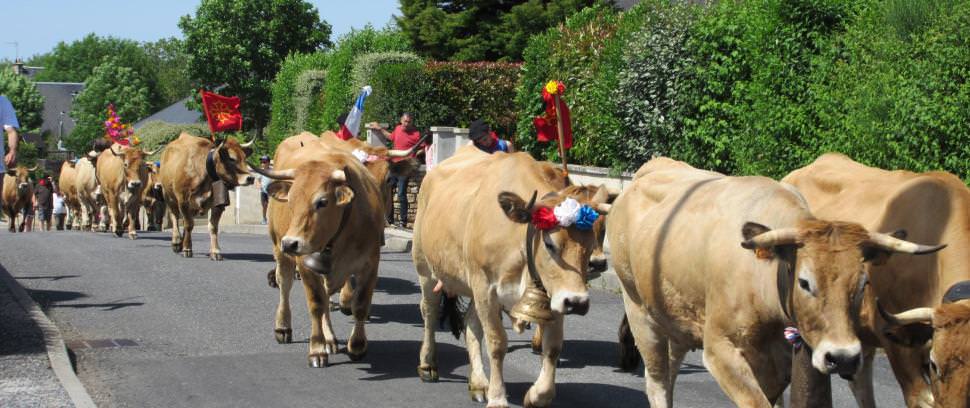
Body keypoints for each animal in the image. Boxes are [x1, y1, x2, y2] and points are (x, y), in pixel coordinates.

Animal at [158, 134, 253, 262]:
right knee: (175, 217)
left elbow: (213, 227)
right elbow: (188, 224)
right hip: (169, 196)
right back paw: (177, 242)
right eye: (232, 158)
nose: (250, 178)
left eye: (244, 157)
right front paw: (187, 249)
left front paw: (215, 251)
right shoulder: (183, 201)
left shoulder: (218, 205)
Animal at [251, 133, 384, 366]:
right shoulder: (305, 265)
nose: (290, 243)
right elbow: (316, 303)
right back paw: (284, 327)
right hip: (280, 251)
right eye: (291, 200)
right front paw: (317, 348)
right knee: (285, 285)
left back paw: (330, 338)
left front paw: (357, 346)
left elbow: (360, 305)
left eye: (322, 201)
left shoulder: (370, 264)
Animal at [412, 145, 608, 406]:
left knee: (470, 324)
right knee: (430, 311)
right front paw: (498, 398)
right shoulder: (486, 288)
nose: (577, 302)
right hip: (425, 266)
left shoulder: (555, 293)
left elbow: (553, 346)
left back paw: (478, 383)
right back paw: (427, 364)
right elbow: (497, 343)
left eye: (589, 247)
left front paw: (537, 395)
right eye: (550, 243)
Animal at [608, 157, 940, 408]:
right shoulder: (721, 348)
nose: (842, 358)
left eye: (862, 284)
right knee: (658, 381)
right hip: (639, 312)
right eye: (805, 282)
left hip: (677, 319)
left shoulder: (778, 361)